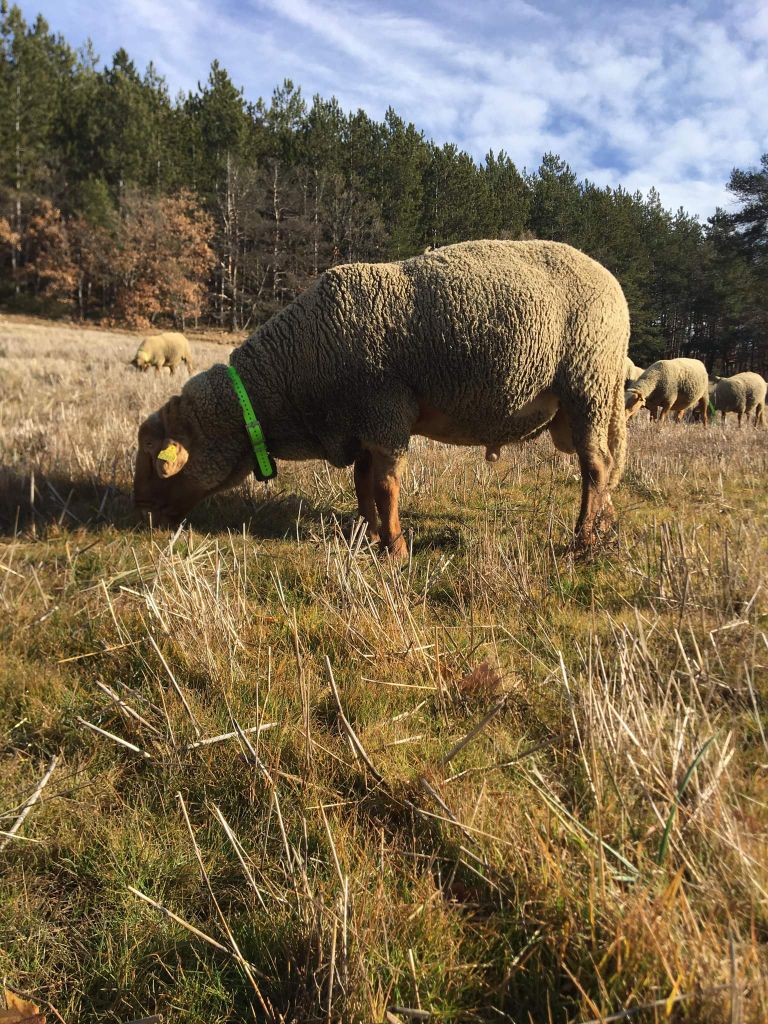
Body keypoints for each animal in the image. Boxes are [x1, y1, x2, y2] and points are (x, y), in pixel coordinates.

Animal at [134, 238, 630, 552]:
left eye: (162, 457)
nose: (140, 514)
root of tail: (612, 285)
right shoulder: (364, 422)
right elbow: (362, 481)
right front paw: (371, 535)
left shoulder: (385, 412)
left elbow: (386, 484)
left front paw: (396, 549)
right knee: (603, 468)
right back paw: (598, 529)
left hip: (588, 383)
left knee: (595, 466)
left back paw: (583, 541)